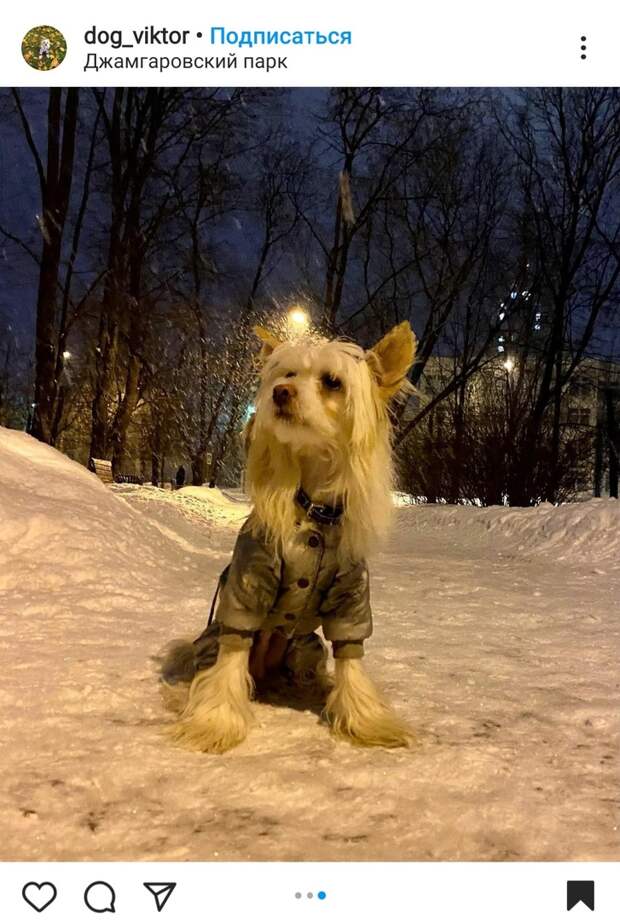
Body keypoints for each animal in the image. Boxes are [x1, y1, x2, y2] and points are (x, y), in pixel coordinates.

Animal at [165, 320, 416, 752]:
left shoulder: (351, 596)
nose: (281, 392)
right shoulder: (247, 587)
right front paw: (215, 723)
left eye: (332, 382)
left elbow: (351, 656)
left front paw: (366, 720)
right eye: (288, 374)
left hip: (306, 645)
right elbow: (231, 657)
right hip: (213, 640)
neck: (315, 512)